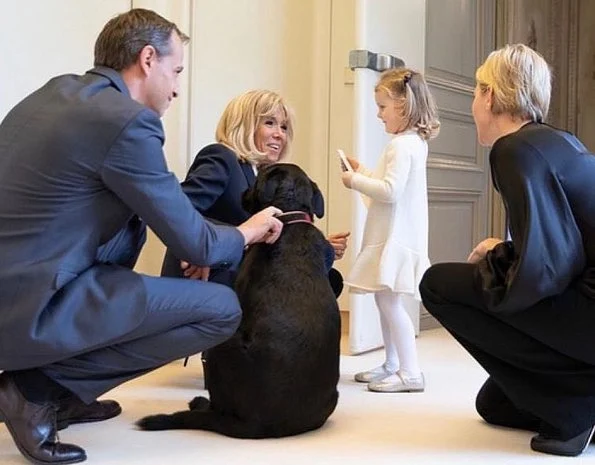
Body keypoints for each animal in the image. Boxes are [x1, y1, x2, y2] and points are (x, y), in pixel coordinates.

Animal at [136, 164, 340, 438]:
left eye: (256, 181)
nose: (244, 191)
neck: (288, 217)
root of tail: (259, 425)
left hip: (220, 346)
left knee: (216, 406)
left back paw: (200, 403)